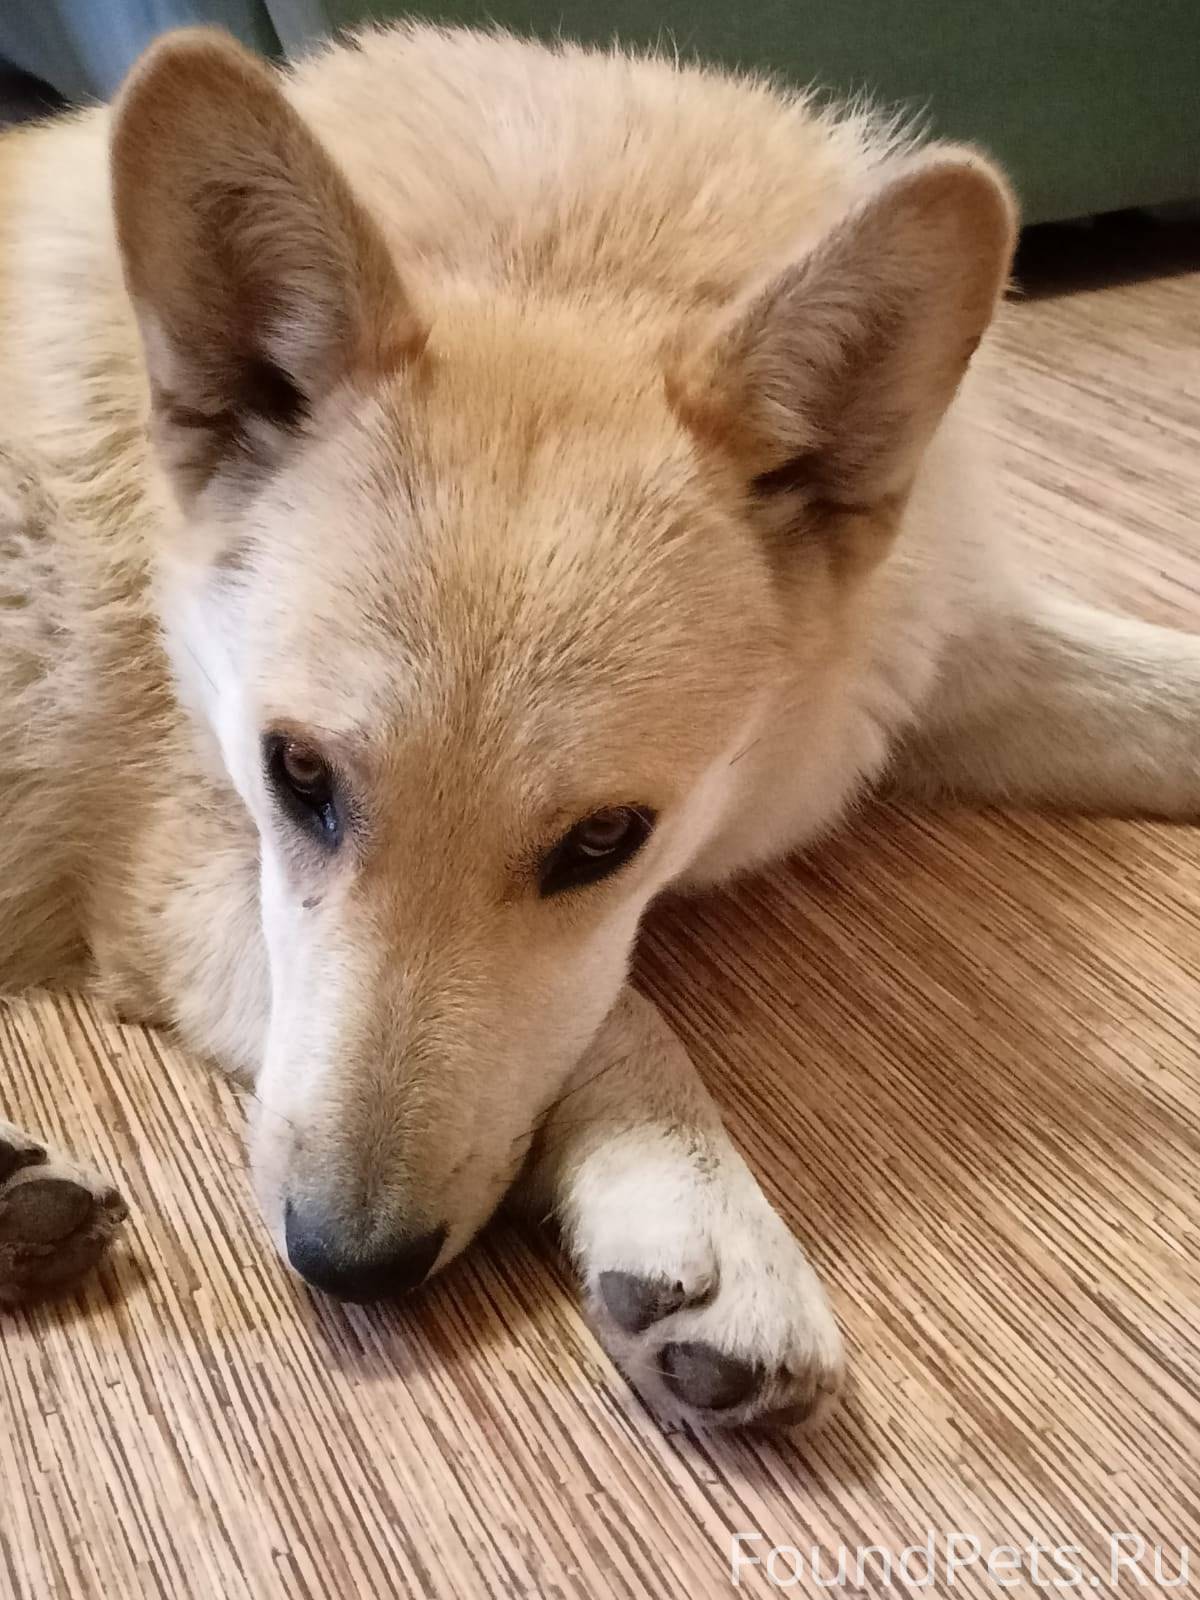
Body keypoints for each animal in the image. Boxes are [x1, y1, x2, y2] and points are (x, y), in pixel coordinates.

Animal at [1, 22, 1197, 1430]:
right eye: (295, 776)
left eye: (603, 842)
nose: (345, 1265)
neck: (565, 251)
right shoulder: (182, 877)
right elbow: (622, 1012)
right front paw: (698, 1209)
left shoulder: (934, 656)